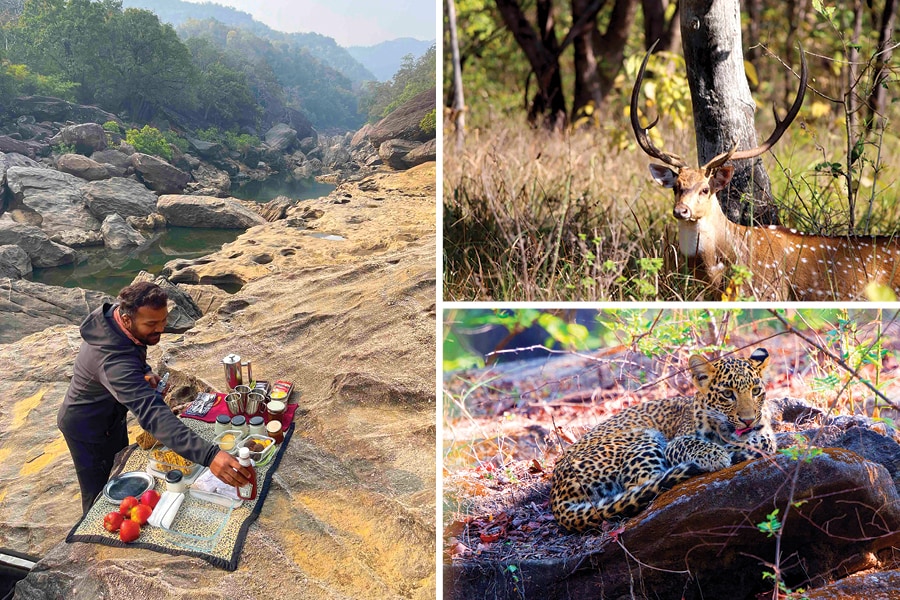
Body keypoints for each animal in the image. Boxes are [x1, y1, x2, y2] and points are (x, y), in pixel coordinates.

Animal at [548, 350, 772, 532]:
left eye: (755, 391)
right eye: (727, 394)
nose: (748, 419)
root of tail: (556, 495)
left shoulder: (763, 432)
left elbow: (763, 440)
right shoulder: (674, 443)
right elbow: (691, 443)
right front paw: (717, 454)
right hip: (642, 437)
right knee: (644, 484)